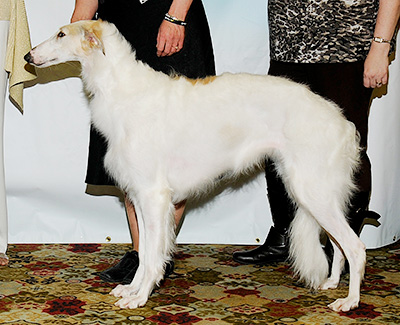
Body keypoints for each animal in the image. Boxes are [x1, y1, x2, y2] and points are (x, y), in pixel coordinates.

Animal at [25, 20, 368, 312]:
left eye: (61, 34)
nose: (28, 55)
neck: (125, 91)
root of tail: (342, 122)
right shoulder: (140, 196)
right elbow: (145, 252)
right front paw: (132, 289)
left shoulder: (154, 196)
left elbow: (152, 257)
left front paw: (140, 297)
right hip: (317, 192)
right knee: (339, 246)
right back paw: (332, 283)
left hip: (312, 190)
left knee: (355, 246)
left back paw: (350, 302)